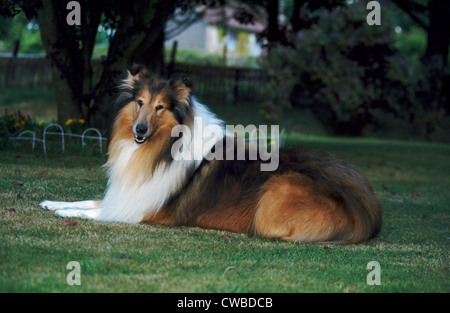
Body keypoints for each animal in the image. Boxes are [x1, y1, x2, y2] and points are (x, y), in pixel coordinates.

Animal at [40, 64, 382, 243]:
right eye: (140, 102)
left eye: (160, 107)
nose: (139, 129)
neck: (161, 149)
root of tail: (367, 211)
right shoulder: (125, 195)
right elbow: (89, 201)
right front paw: (52, 203)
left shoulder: (140, 210)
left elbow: (95, 212)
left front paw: (64, 213)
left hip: (277, 192)